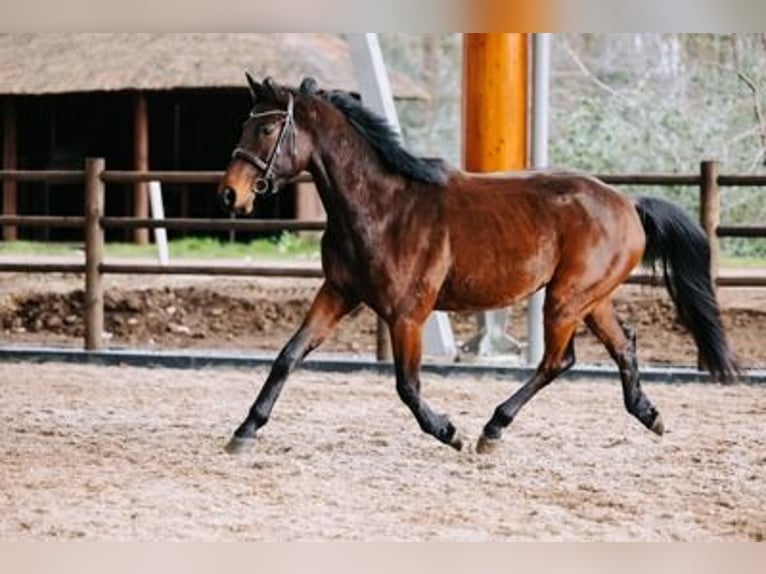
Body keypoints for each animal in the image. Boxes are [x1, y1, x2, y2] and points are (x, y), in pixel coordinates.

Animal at [216, 75, 736, 454]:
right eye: (242, 126)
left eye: (266, 128)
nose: (229, 194)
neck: (382, 207)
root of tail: (628, 204)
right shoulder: (339, 292)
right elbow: (288, 355)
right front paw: (245, 430)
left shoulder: (408, 315)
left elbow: (407, 385)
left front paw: (449, 431)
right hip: (591, 298)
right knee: (622, 346)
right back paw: (650, 415)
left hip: (566, 298)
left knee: (558, 360)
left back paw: (493, 428)